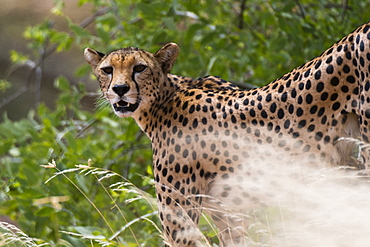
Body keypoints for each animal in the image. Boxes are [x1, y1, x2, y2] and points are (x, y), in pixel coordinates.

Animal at [85, 22, 370, 246]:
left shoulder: (179, 223)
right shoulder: (230, 215)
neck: (162, 101)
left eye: (140, 68)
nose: (120, 89)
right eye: (107, 70)